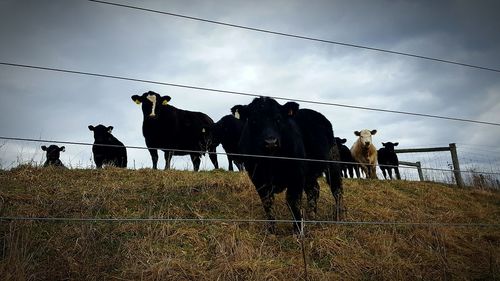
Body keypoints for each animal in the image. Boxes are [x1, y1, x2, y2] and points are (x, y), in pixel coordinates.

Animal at [231, 97, 342, 233]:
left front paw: (298, 230)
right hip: (310, 175)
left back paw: (338, 216)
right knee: (314, 190)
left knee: (336, 189)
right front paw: (271, 230)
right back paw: (312, 219)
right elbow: (267, 202)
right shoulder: (257, 178)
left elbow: (293, 201)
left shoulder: (296, 175)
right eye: (254, 120)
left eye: (278, 119)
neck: (271, 161)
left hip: (333, 162)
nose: (271, 142)